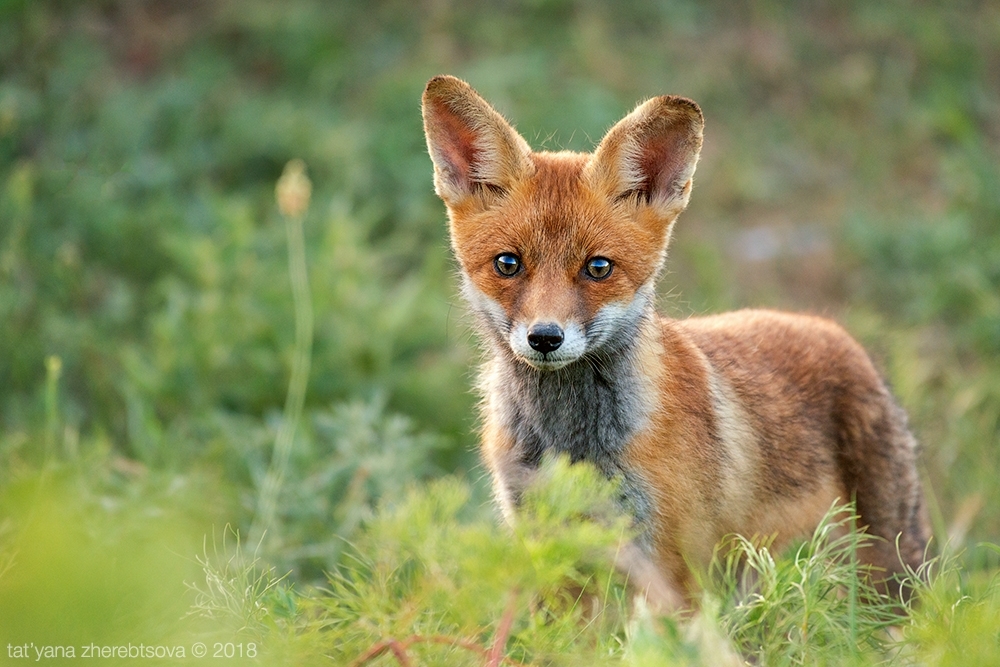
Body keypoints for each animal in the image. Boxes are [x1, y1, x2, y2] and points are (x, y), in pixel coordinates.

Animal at [422, 75, 928, 612]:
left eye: (598, 267)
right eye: (508, 264)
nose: (544, 337)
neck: (572, 442)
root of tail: (838, 333)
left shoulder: (673, 562)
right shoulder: (546, 541)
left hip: (879, 565)